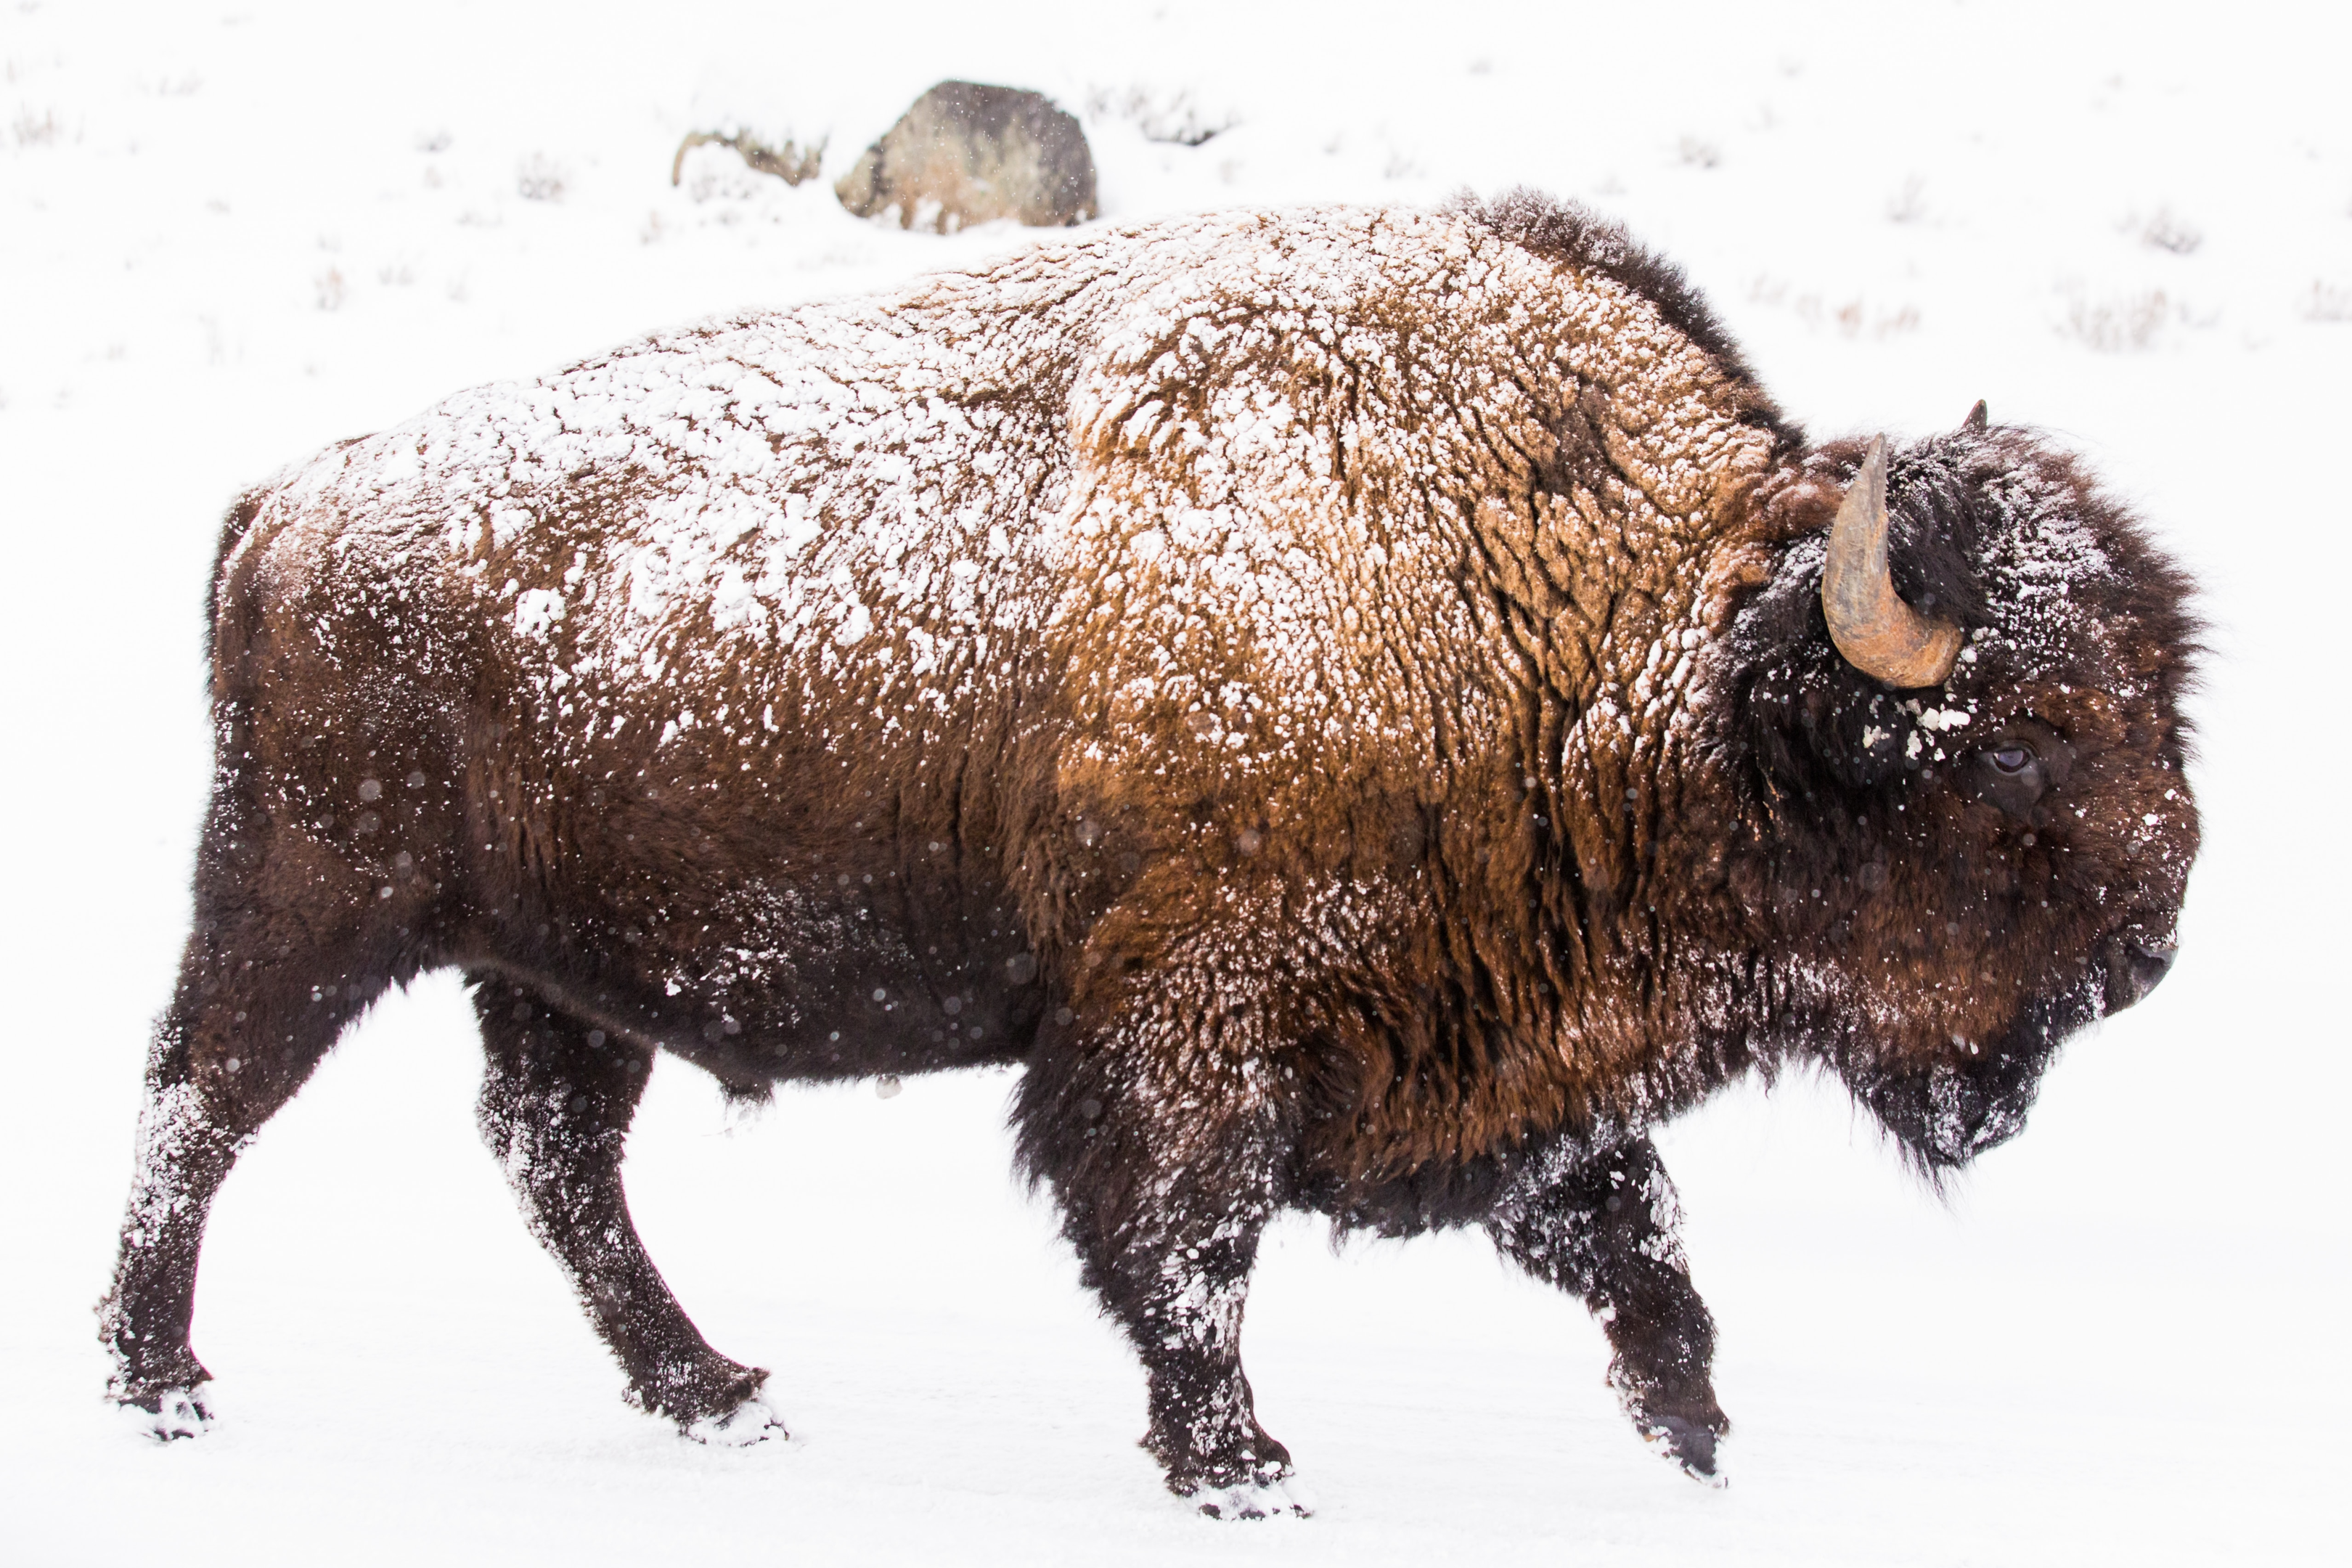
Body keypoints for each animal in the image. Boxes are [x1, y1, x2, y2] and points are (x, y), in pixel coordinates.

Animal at [101, 190, 2192, 1514]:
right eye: (2015, 748)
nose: (2158, 939)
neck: (1612, 630)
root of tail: (289, 499)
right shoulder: (1193, 1024)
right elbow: (1188, 1246)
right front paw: (1240, 1468)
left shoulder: (1504, 1042)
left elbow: (1632, 1240)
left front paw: (1696, 1442)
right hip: (308, 907)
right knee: (198, 1109)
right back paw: (159, 1385)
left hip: (558, 974)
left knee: (556, 1168)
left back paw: (718, 1400)